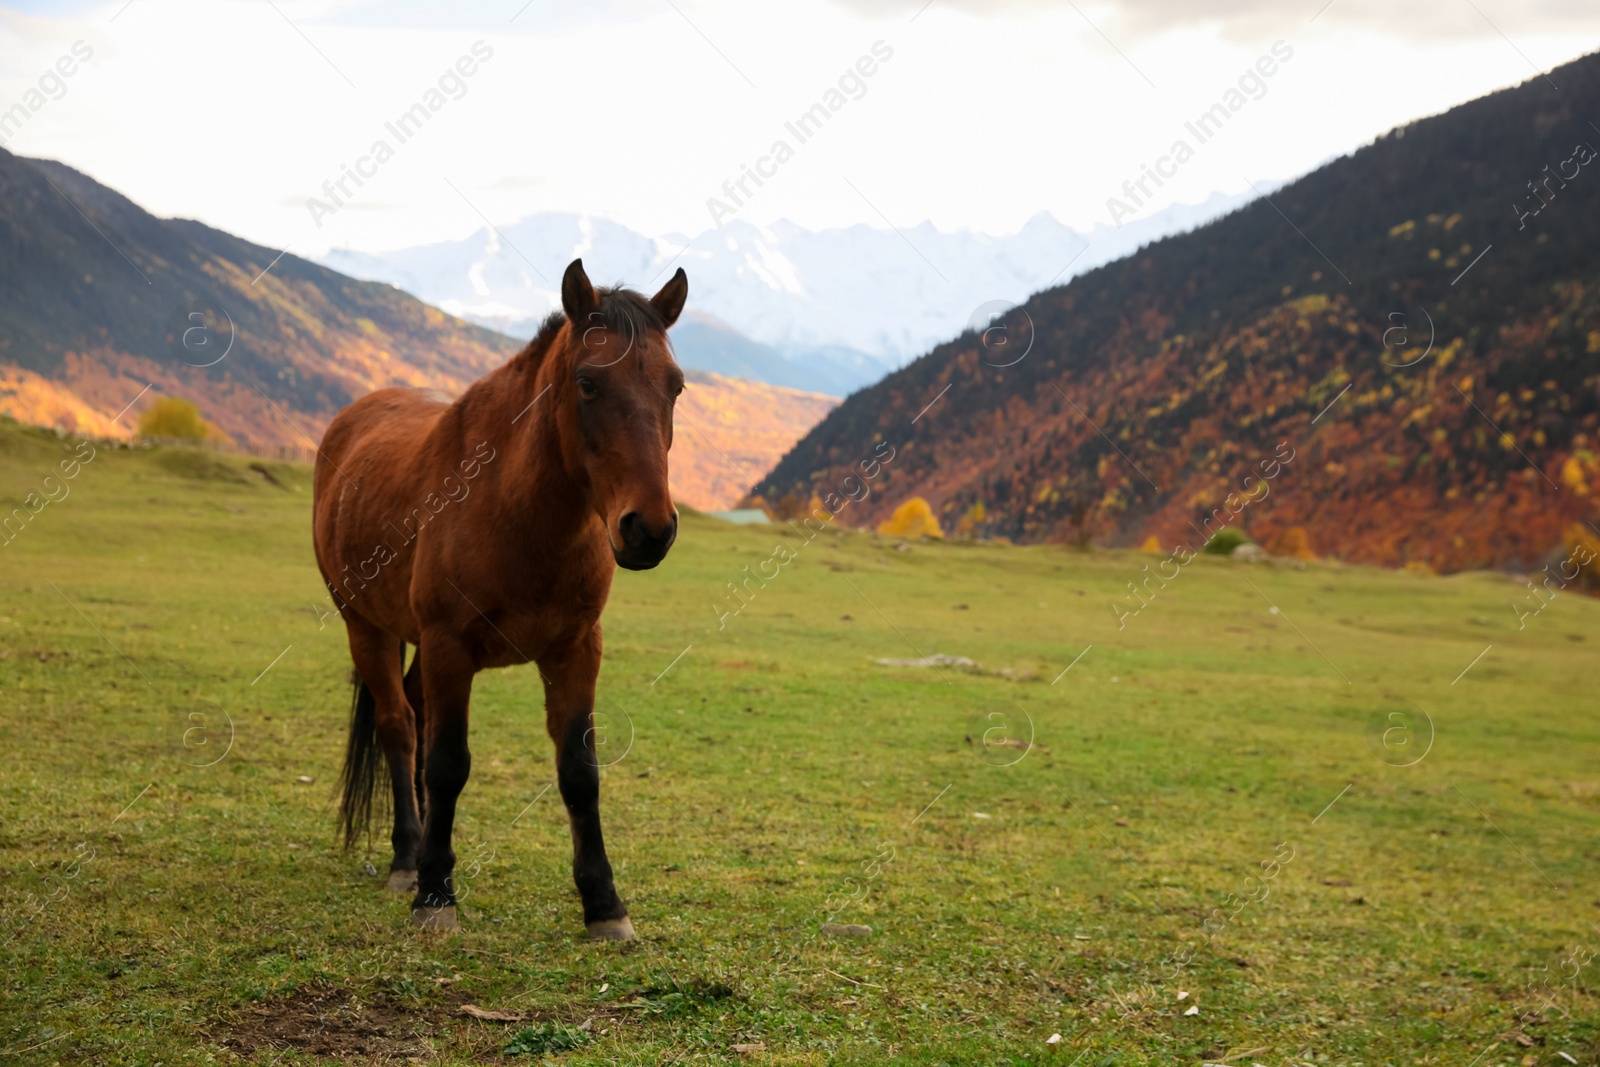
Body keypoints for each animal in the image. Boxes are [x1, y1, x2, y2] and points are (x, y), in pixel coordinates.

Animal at [313, 262, 688, 940]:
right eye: (588, 383)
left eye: (675, 386)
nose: (649, 529)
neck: (515, 511)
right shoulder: (448, 646)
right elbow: (446, 763)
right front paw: (435, 895)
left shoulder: (575, 650)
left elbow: (579, 772)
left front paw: (604, 905)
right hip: (366, 628)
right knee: (400, 728)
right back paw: (407, 858)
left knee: (414, 714)